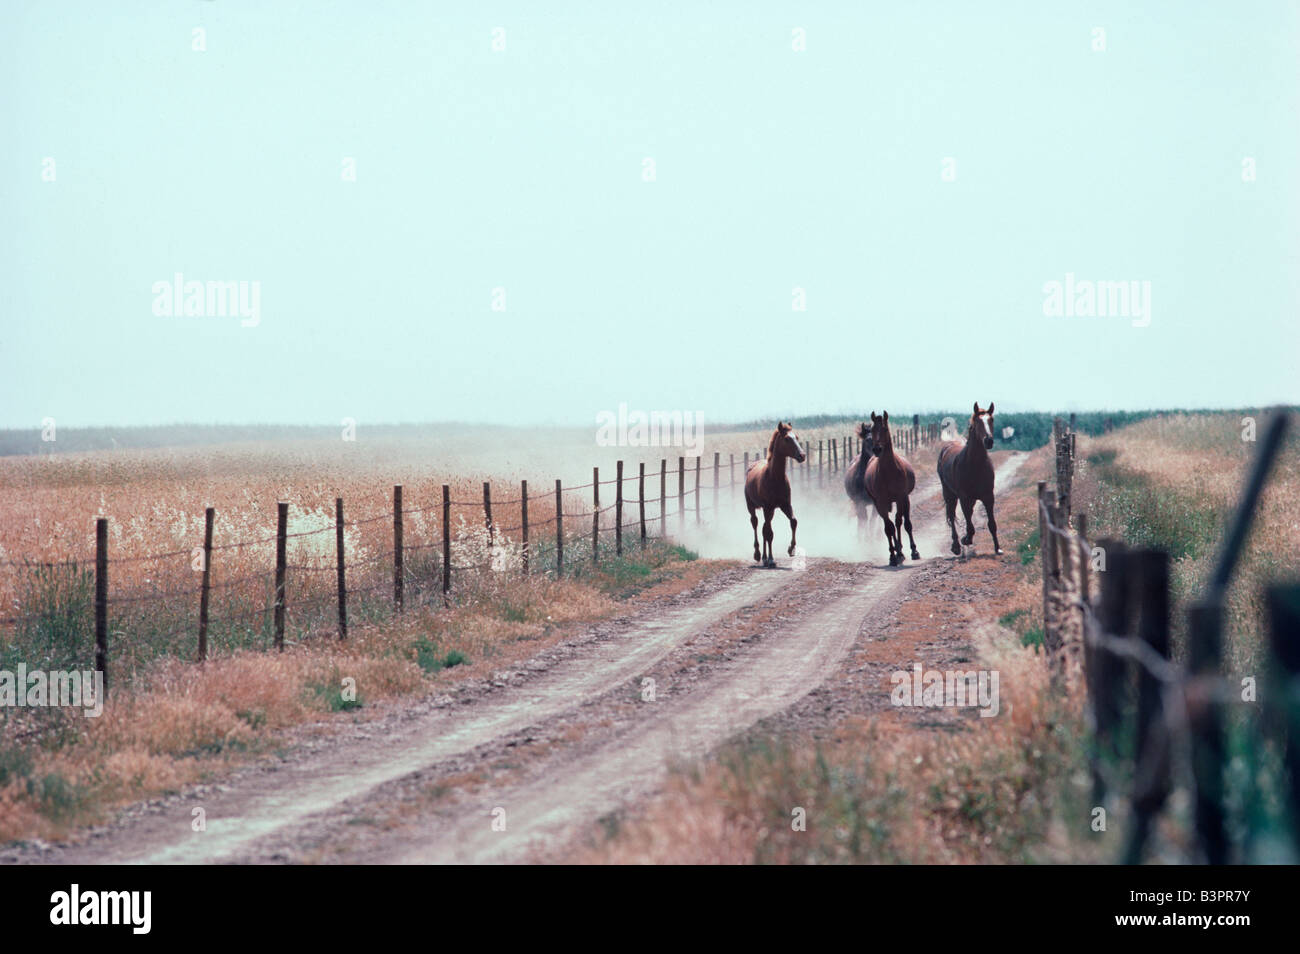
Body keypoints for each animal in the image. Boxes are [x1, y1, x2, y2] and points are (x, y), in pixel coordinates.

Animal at [748, 421, 806, 566]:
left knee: (764, 528)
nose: (802, 455)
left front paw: (791, 549)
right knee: (756, 524)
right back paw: (758, 555)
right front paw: (771, 559)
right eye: (787, 439)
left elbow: (793, 521)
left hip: (770, 511)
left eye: (797, 437)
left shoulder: (785, 505)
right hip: (752, 507)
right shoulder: (767, 507)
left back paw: (763, 557)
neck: (774, 478)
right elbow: (769, 533)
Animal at [863, 413, 925, 566]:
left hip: (899, 500)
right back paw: (898, 551)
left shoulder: (903, 497)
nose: (877, 449)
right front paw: (893, 556)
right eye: (872, 430)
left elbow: (906, 523)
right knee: (891, 525)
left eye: (885, 429)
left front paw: (914, 551)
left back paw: (902, 550)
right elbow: (888, 528)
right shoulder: (880, 503)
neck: (889, 471)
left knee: (898, 521)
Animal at [935, 402, 1003, 553]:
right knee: (951, 515)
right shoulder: (964, 498)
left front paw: (998, 548)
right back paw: (956, 545)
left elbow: (992, 524)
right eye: (977, 422)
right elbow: (970, 526)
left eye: (992, 420)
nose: (988, 441)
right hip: (949, 494)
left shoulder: (988, 497)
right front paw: (965, 539)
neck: (975, 465)